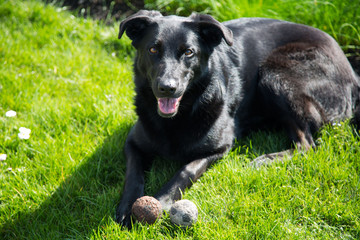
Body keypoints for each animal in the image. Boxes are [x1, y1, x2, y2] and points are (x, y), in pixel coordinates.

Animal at [116, 9, 360, 227]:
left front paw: (161, 201)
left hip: (274, 74)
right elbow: (133, 174)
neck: (176, 119)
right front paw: (127, 207)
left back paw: (265, 160)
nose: (167, 88)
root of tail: (352, 73)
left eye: (188, 52)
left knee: (307, 145)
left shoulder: (218, 148)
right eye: (153, 49)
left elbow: (185, 171)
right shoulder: (133, 143)